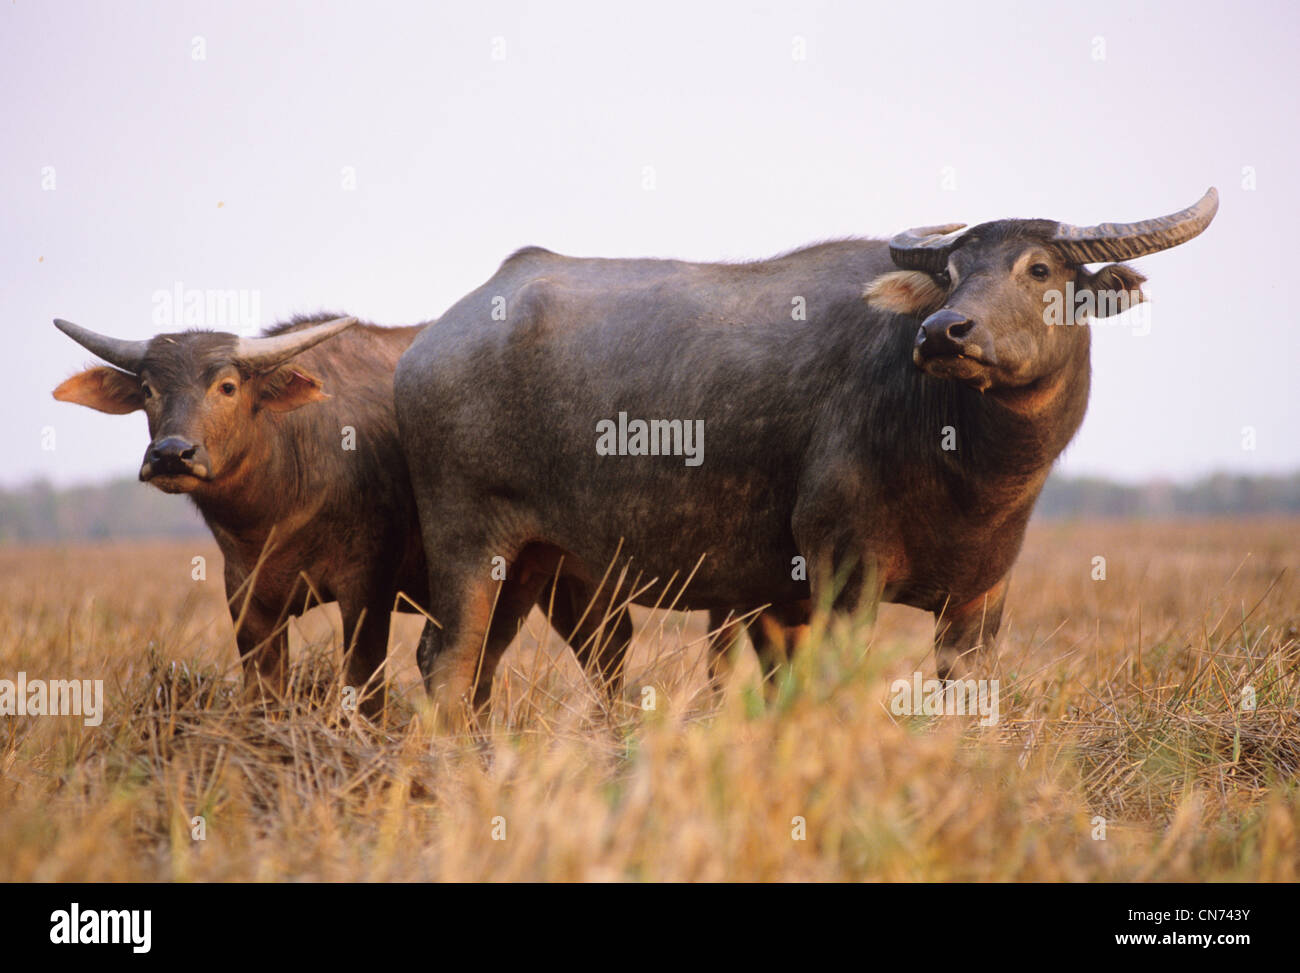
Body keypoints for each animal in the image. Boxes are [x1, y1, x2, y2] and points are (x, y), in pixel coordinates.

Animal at [394, 188, 1218, 723]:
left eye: (1040, 269)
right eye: (953, 274)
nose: (944, 332)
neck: (964, 466)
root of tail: (428, 342)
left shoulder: (981, 600)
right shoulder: (843, 571)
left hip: (533, 560)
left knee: (482, 668)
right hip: (470, 544)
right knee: (446, 661)